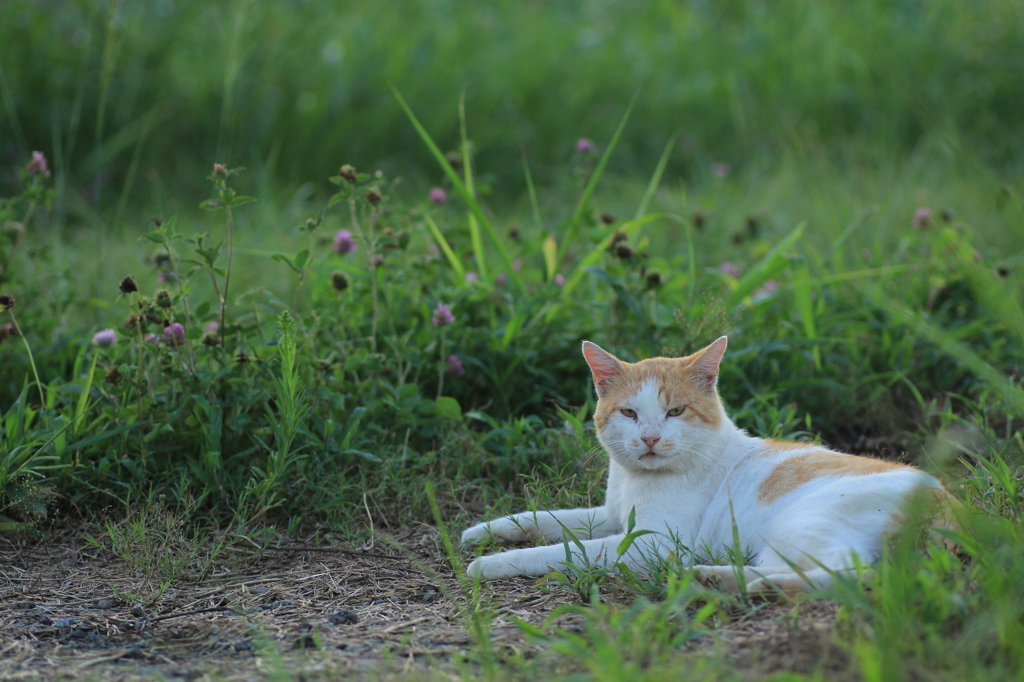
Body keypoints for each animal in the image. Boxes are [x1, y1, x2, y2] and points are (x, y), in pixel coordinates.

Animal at [460, 337, 946, 593]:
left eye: (675, 412)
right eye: (629, 414)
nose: (649, 437)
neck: (636, 478)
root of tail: (951, 507)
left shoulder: (651, 544)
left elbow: (561, 550)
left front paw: (490, 563)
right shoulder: (612, 516)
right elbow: (549, 518)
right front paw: (482, 532)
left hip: (806, 520)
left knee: (849, 572)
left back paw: (736, 581)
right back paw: (716, 575)